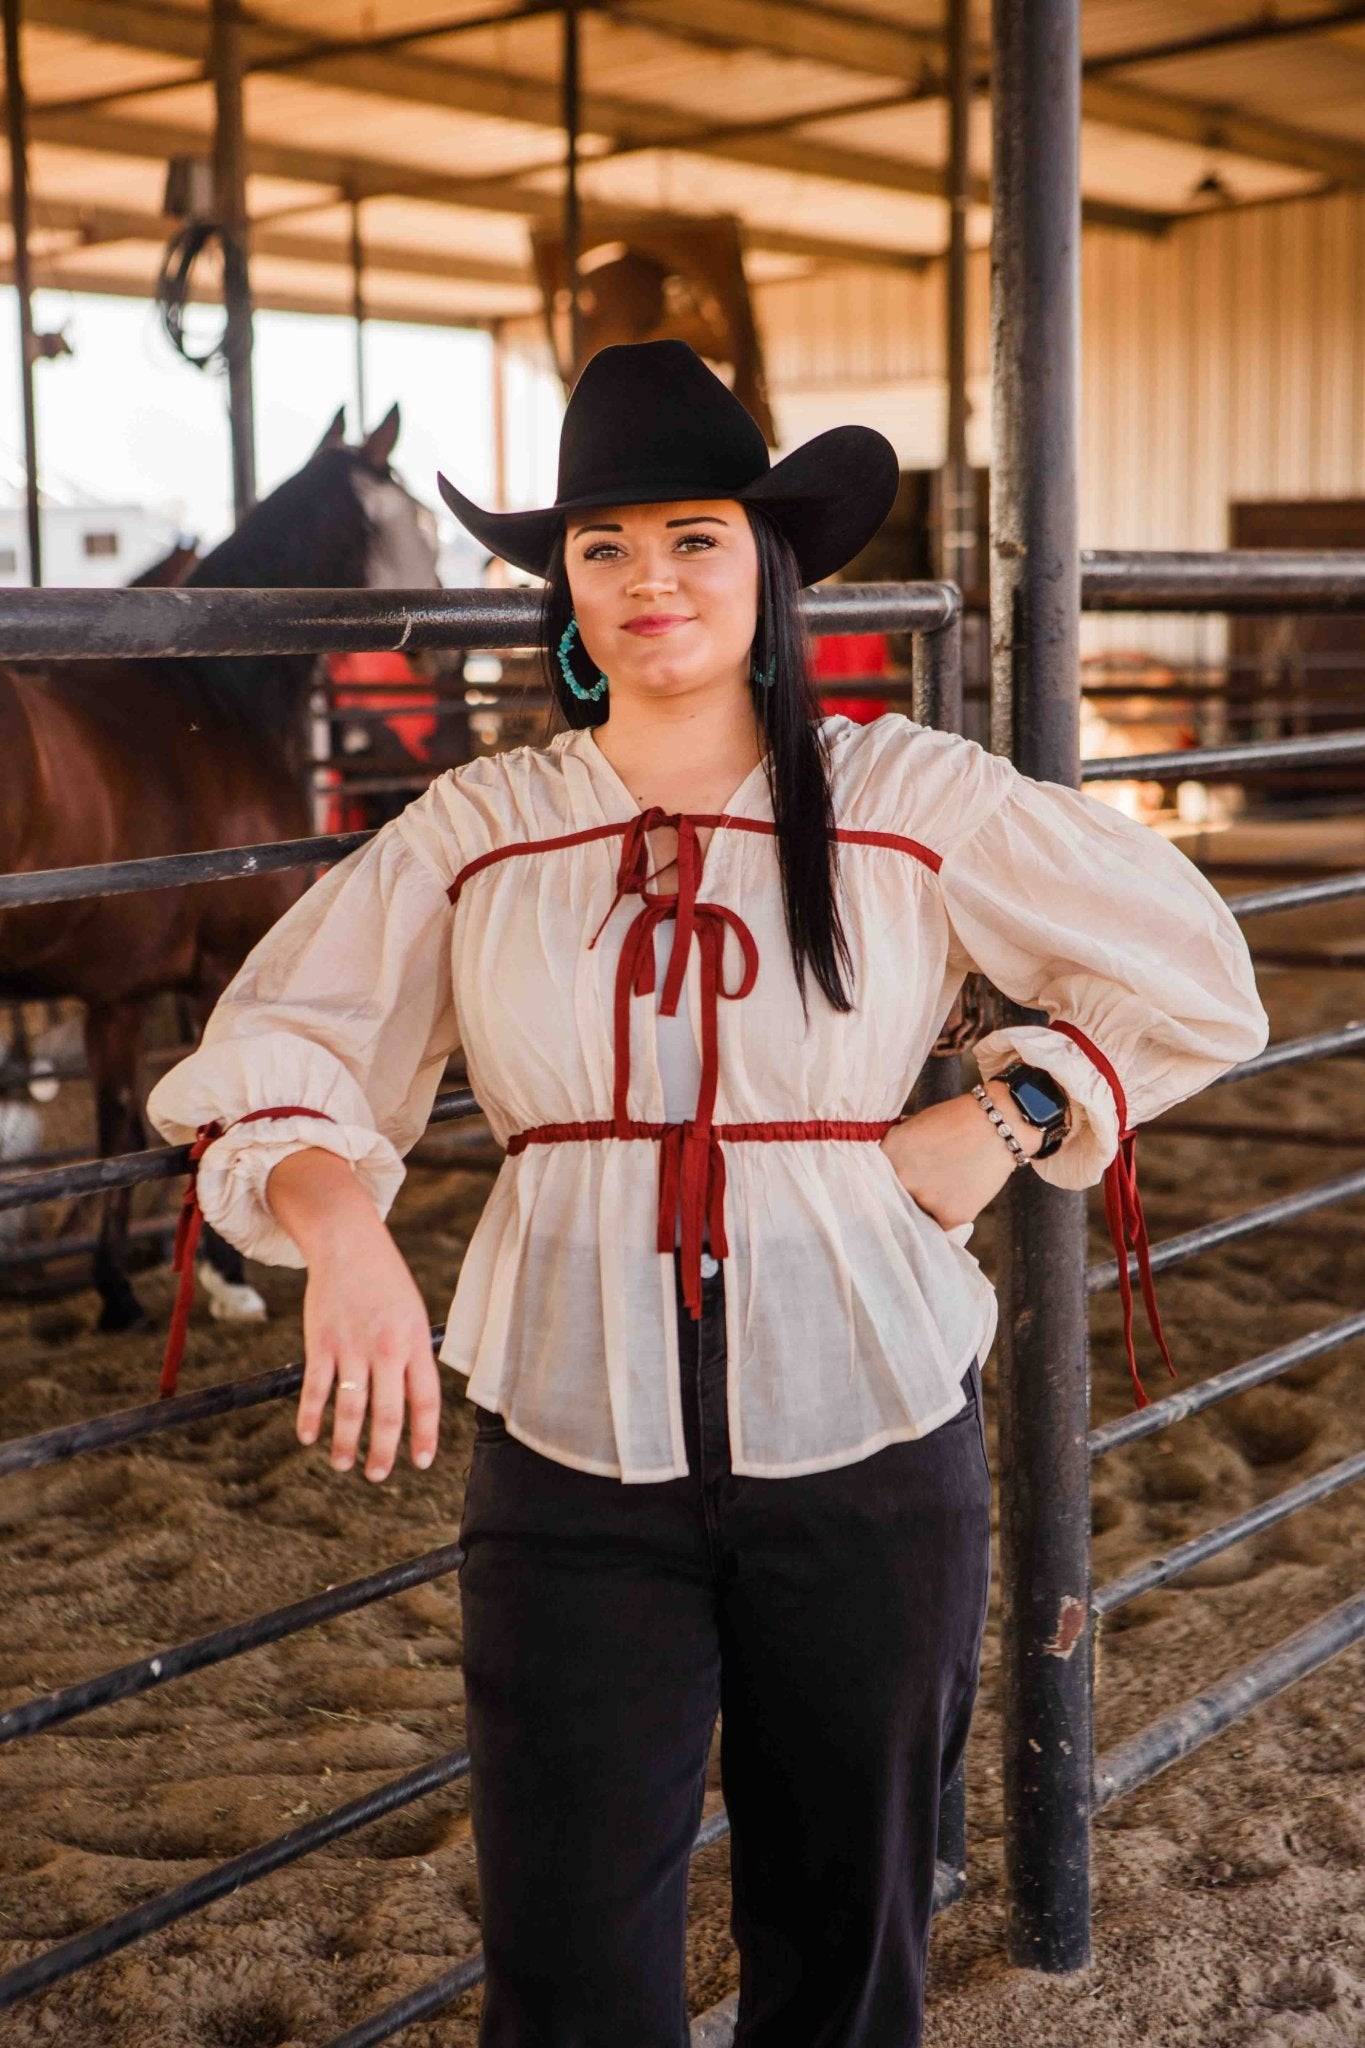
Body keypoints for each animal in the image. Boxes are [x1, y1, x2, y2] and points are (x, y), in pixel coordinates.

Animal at [0, 405, 441, 1335]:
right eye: (420, 520)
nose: (431, 664)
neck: (218, 695)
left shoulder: (118, 995)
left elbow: (117, 1127)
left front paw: (117, 1286)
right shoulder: (218, 970)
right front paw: (227, 1275)